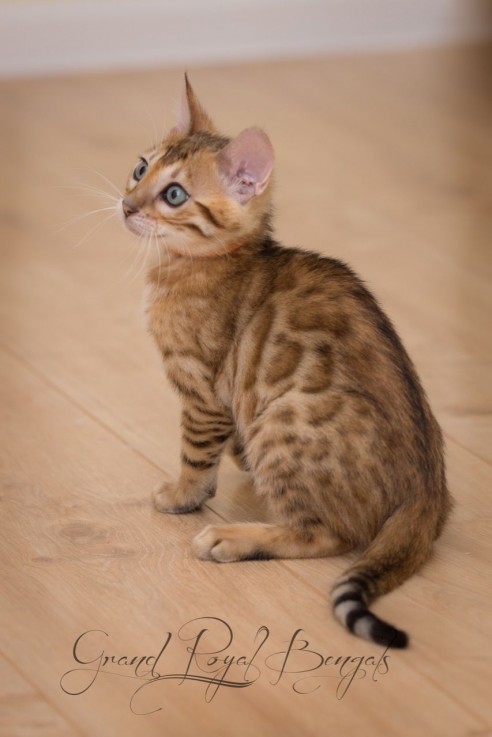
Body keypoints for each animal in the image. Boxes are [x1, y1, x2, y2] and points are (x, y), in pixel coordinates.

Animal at [121, 76, 452, 648]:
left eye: (174, 194)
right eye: (142, 169)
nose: (125, 204)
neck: (197, 266)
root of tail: (429, 490)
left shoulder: (202, 390)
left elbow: (194, 454)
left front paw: (184, 494)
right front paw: (232, 459)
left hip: (284, 422)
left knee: (329, 535)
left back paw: (231, 538)